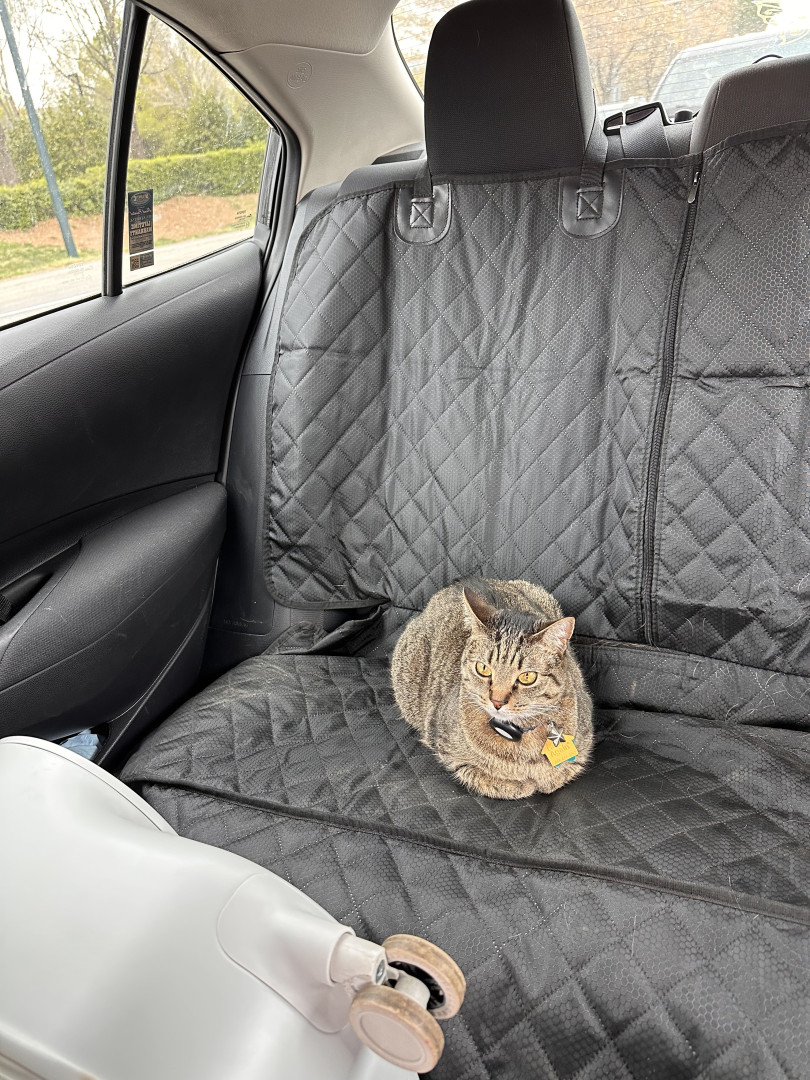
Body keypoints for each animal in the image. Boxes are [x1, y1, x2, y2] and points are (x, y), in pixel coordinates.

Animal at [391, 579, 593, 799]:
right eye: (483, 668)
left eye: (527, 677)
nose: (497, 701)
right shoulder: (444, 745)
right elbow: (488, 778)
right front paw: (520, 784)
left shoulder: (583, 744)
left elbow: (561, 772)